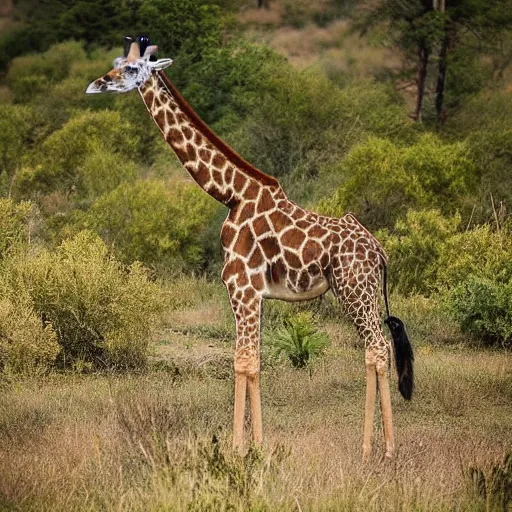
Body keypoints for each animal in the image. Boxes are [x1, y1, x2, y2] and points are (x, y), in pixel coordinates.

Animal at [87, 36, 412, 460]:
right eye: (114, 61)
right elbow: (252, 361)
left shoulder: (241, 286)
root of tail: (380, 252)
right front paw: (256, 446)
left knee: (377, 348)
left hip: (353, 289)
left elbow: (243, 363)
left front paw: (238, 449)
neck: (231, 194)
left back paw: (381, 449)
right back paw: (374, 446)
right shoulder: (250, 291)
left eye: (130, 68)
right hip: (364, 291)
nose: (98, 84)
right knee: (375, 350)